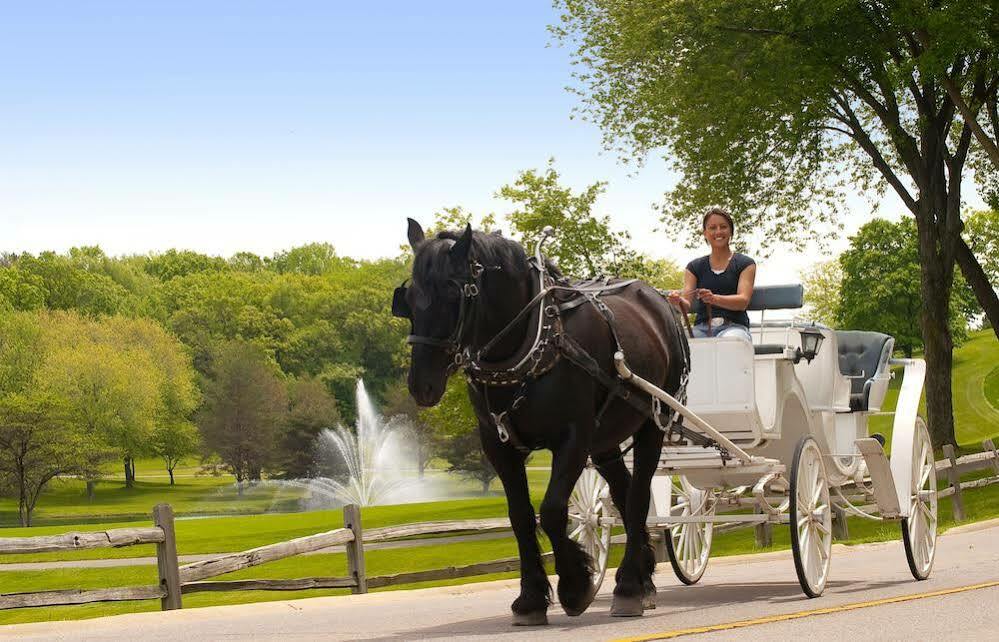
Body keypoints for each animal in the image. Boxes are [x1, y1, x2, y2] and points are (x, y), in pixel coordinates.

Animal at [394, 219, 692, 620]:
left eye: (453, 295)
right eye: (408, 300)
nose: (421, 385)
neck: (533, 342)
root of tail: (658, 299)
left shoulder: (574, 437)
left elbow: (551, 510)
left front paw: (575, 586)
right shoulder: (497, 444)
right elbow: (520, 516)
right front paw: (531, 596)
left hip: (653, 423)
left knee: (638, 496)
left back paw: (629, 586)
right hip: (607, 439)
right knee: (623, 491)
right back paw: (641, 578)